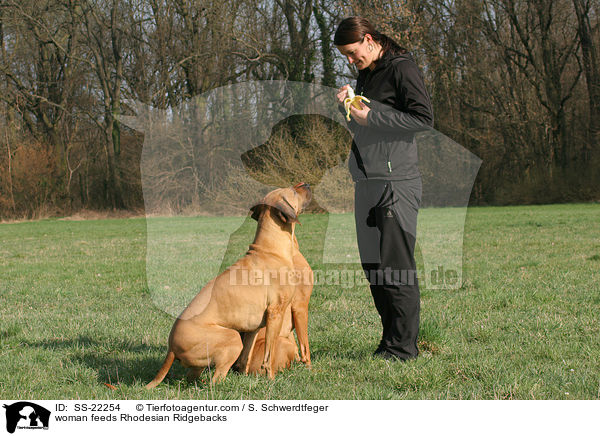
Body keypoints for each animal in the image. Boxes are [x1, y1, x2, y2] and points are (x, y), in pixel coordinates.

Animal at [147, 182, 312, 386]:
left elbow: (245, 359)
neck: (270, 250)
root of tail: (171, 348)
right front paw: (271, 379)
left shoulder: (253, 328)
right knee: (216, 379)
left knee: (195, 377)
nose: (307, 184)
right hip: (232, 337)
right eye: (294, 191)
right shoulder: (277, 313)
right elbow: (269, 356)